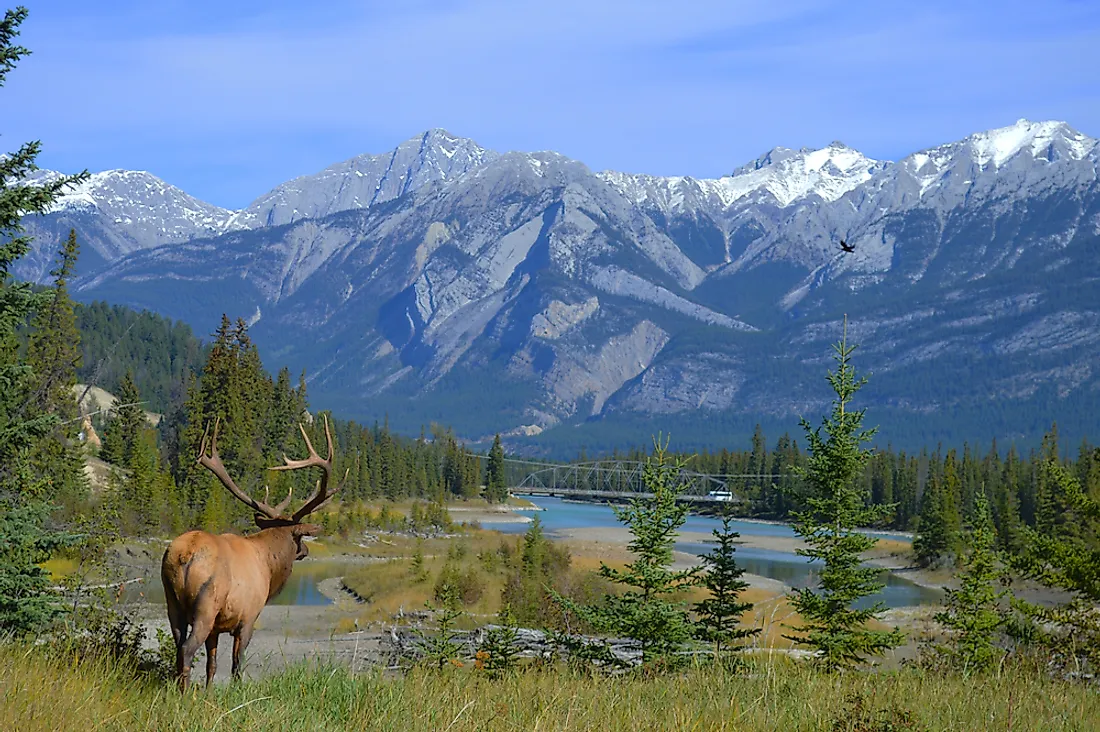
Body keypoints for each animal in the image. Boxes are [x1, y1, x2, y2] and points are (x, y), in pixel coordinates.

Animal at [160, 413, 343, 686]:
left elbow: (212, 665)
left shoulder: (217, 627)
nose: (306, 551)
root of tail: (185, 556)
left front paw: (210, 692)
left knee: (178, 646)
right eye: (299, 538)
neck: (269, 565)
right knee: (186, 650)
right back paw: (184, 693)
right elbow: (237, 665)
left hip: (171, 601)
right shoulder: (248, 618)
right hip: (206, 605)